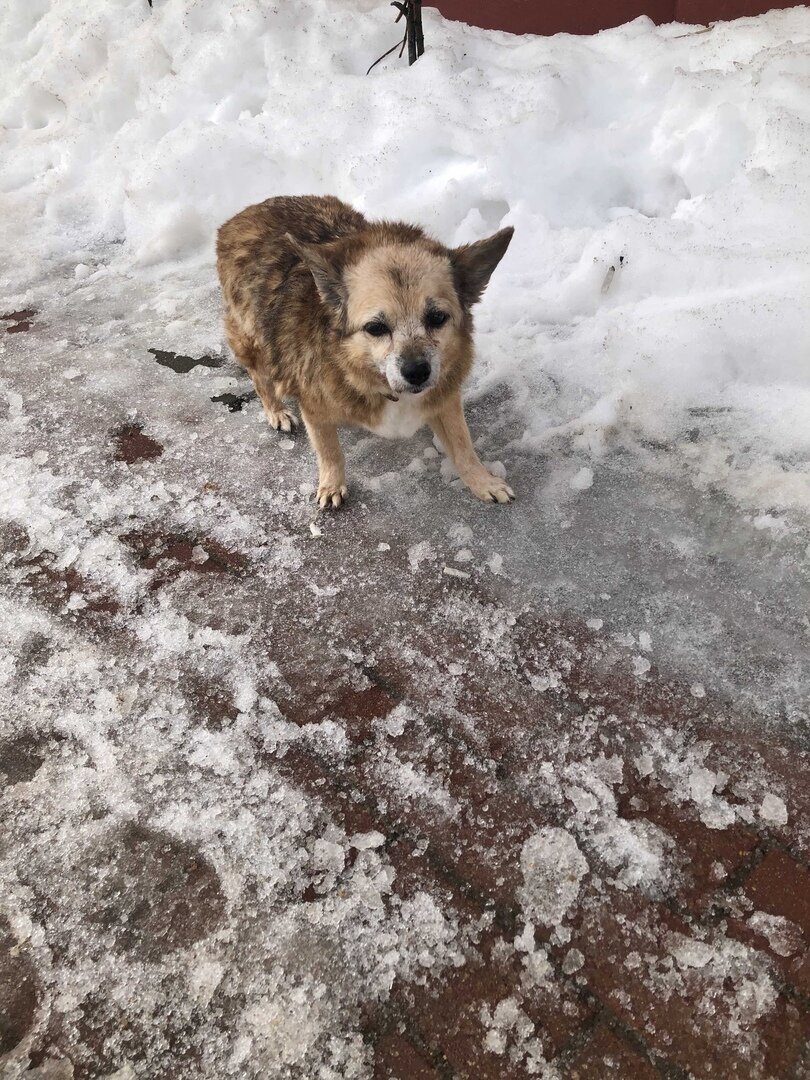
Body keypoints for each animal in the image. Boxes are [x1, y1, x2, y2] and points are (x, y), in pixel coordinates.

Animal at [216, 195, 514, 509]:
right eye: (375, 327)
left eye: (437, 318)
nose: (417, 372)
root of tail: (251, 209)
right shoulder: (314, 406)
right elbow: (330, 451)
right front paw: (332, 484)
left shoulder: (445, 396)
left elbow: (462, 444)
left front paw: (483, 481)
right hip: (252, 339)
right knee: (261, 378)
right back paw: (277, 411)